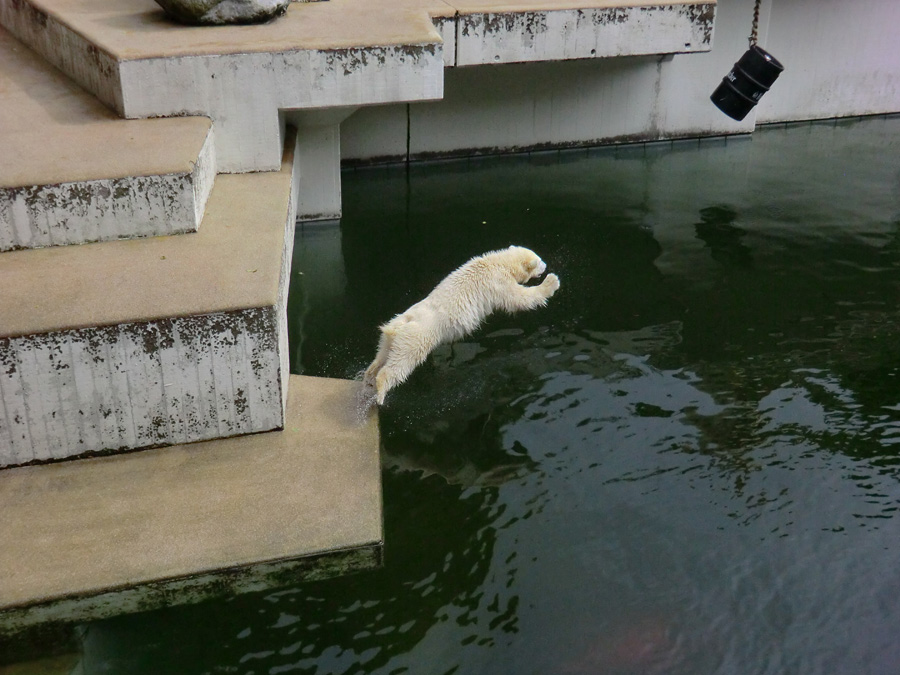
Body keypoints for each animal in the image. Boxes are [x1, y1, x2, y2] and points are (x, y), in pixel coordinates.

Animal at [362, 248, 560, 406]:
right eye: (539, 261)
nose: (546, 265)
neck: (497, 262)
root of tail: (401, 323)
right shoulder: (498, 283)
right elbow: (521, 298)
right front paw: (552, 282)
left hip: (392, 335)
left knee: (382, 354)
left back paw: (369, 376)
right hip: (416, 338)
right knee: (400, 365)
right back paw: (380, 394)